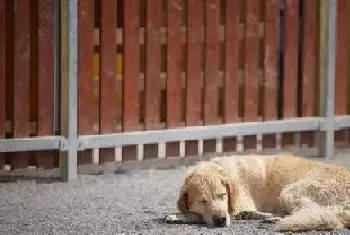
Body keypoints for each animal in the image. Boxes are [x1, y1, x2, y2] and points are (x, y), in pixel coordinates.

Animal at [167, 154, 350, 231]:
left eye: (222, 196)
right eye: (202, 201)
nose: (220, 221)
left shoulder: (234, 207)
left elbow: (196, 215)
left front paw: (178, 216)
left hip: (290, 192)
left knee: (316, 213)